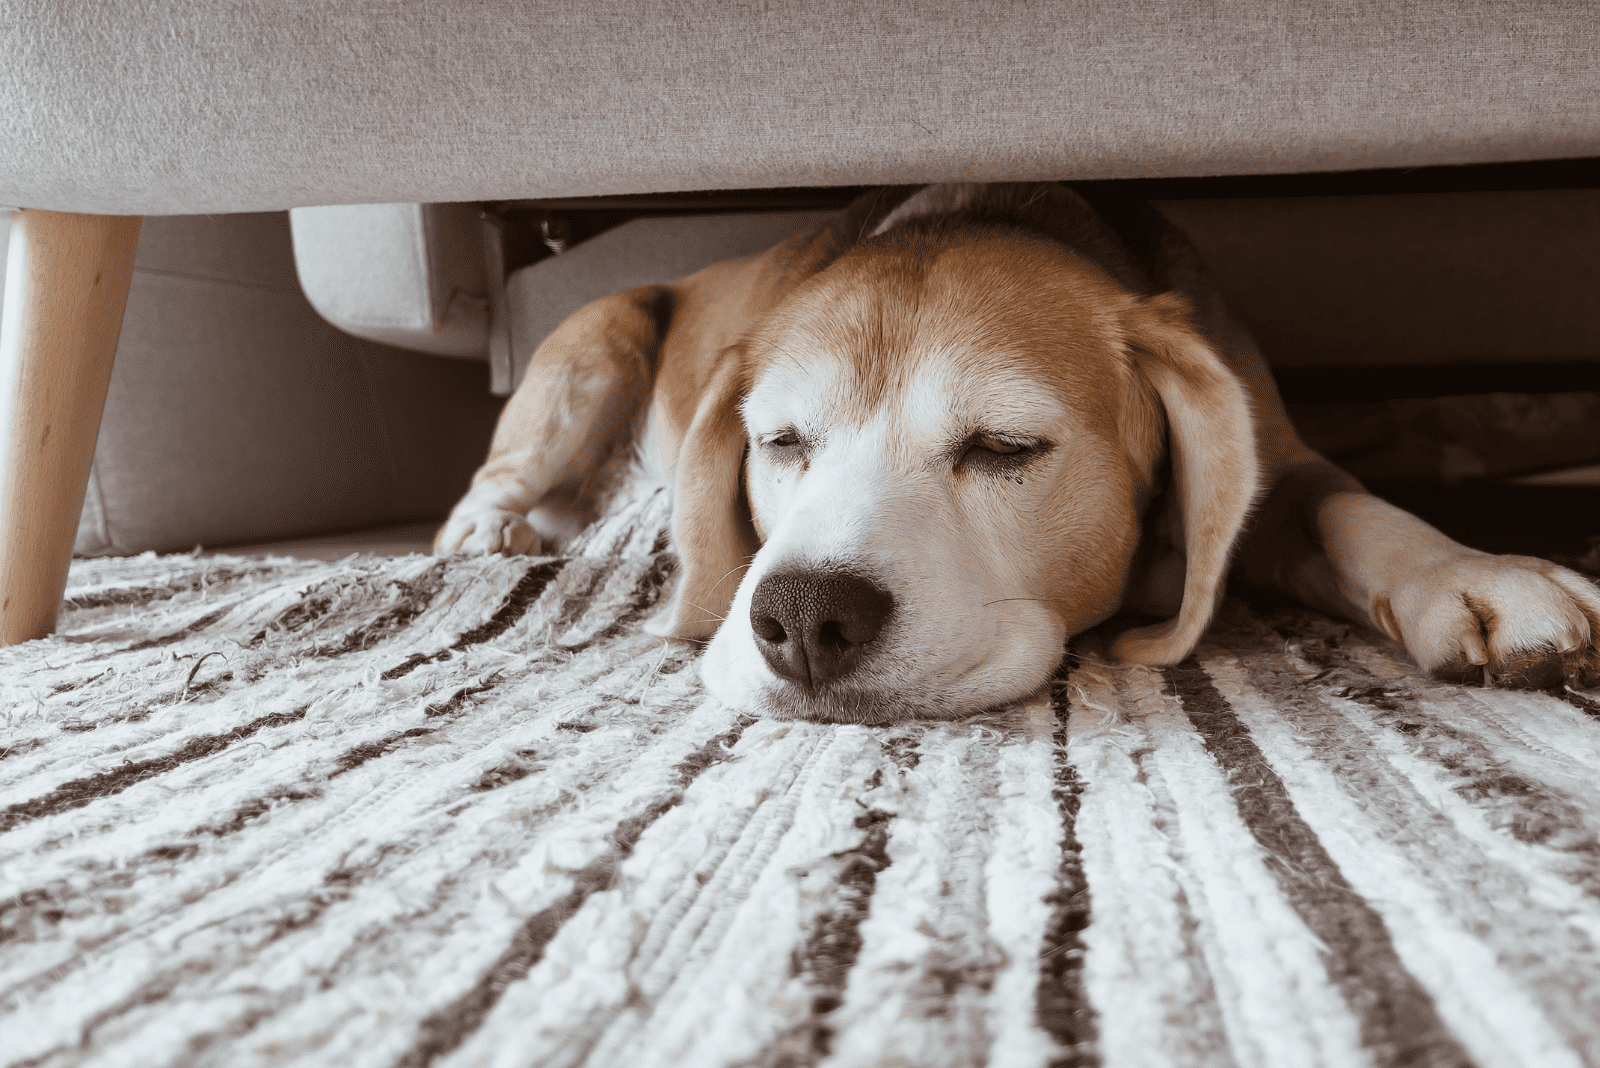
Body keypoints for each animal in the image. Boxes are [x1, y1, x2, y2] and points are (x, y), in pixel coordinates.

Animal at [435, 183, 1600, 722]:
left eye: (1004, 447)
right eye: (780, 443)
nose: (802, 617)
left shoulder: (1276, 469)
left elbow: (1352, 506)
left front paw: (1478, 574)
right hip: (595, 340)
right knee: (499, 479)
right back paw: (486, 537)